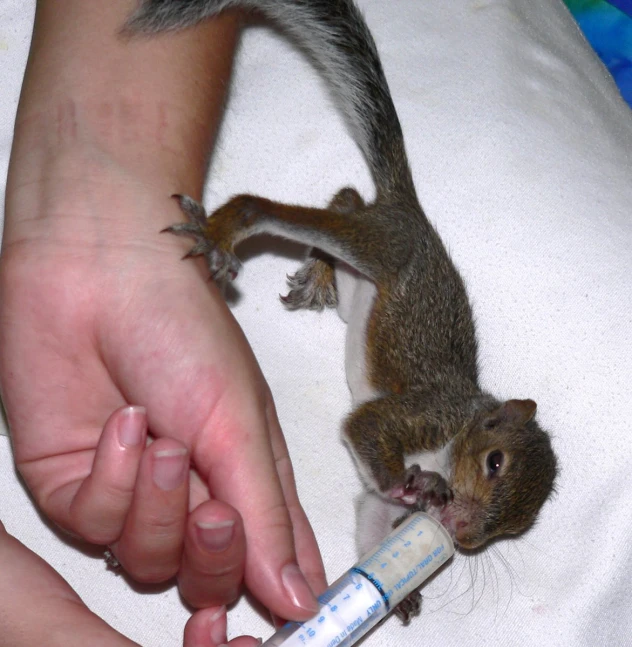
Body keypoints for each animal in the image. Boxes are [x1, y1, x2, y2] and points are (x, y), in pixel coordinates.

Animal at [127, 0, 556, 620]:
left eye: (520, 527)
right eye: (494, 462)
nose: (463, 533)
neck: (459, 432)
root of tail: (410, 211)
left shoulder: (383, 504)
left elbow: (373, 519)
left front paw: (399, 591)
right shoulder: (426, 413)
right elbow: (368, 429)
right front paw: (405, 484)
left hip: (363, 279)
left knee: (348, 202)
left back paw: (318, 269)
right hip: (383, 248)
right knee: (286, 213)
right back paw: (228, 228)